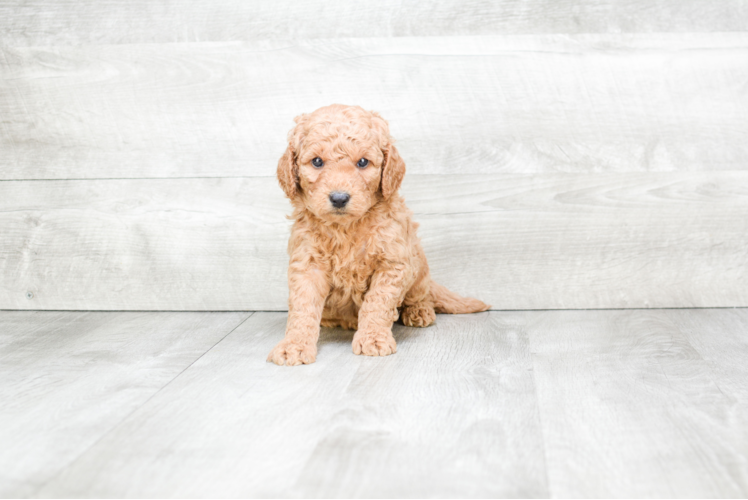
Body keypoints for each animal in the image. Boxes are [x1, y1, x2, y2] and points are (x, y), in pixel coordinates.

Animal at [268, 103, 490, 366]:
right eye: (317, 161)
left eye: (363, 162)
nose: (339, 198)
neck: (346, 228)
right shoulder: (307, 263)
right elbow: (303, 307)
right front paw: (294, 345)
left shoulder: (393, 263)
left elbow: (377, 302)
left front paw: (372, 338)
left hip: (418, 266)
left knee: (422, 293)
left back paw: (419, 311)